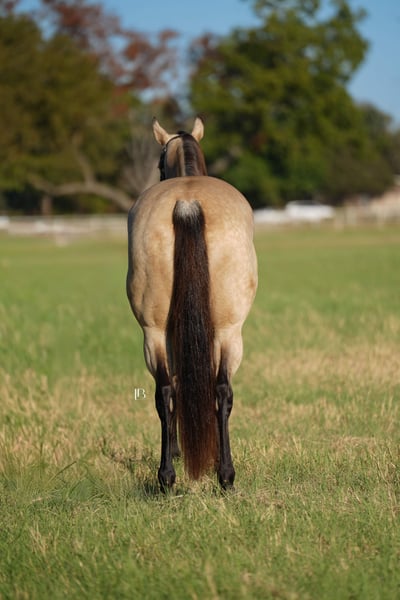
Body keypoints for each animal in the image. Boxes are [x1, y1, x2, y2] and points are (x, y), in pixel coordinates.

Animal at [126, 117, 257, 491]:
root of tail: (187, 202)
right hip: (229, 332)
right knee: (222, 390)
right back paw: (225, 475)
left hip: (154, 331)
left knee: (166, 390)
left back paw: (167, 476)